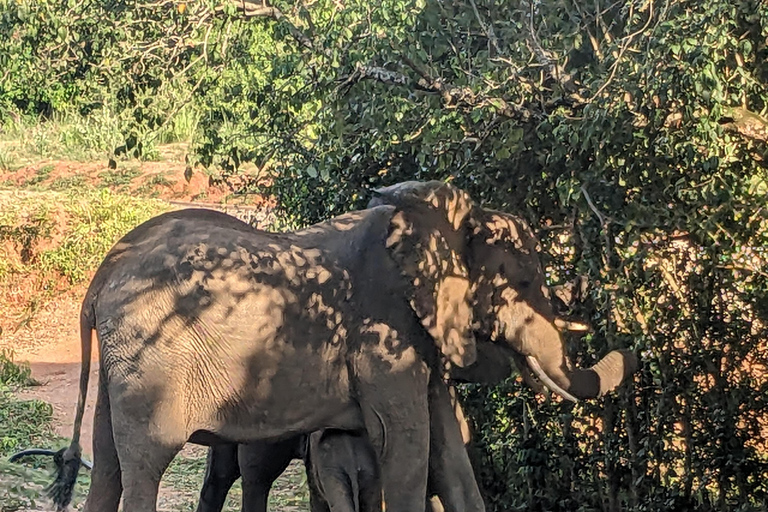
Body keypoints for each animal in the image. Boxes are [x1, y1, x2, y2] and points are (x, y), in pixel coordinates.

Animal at [37, 180, 636, 512]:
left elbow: (448, 453)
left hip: (123, 368)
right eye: (525, 284)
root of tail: (100, 279)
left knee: (108, 466)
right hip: (152, 365)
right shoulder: (385, 339)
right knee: (144, 465)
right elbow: (406, 447)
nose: (629, 348)